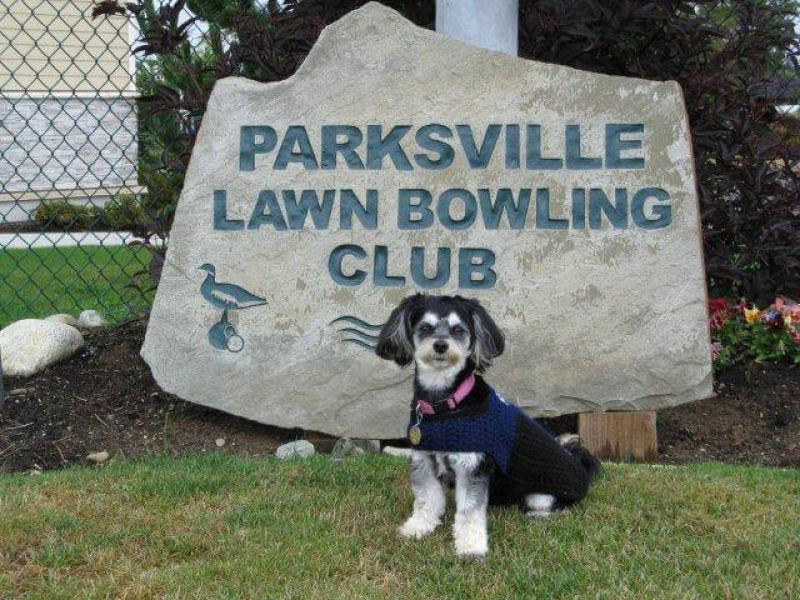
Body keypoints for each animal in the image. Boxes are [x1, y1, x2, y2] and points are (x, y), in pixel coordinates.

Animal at [376, 292, 600, 560]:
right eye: (426, 328)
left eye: (458, 329)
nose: (440, 346)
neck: (445, 404)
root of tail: (582, 468)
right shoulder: (425, 457)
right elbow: (426, 499)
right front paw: (418, 527)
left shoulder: (472, 464)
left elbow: (469, 511)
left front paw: (471, 547)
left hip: (542, 495)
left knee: (559, 507)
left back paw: (537, 515)